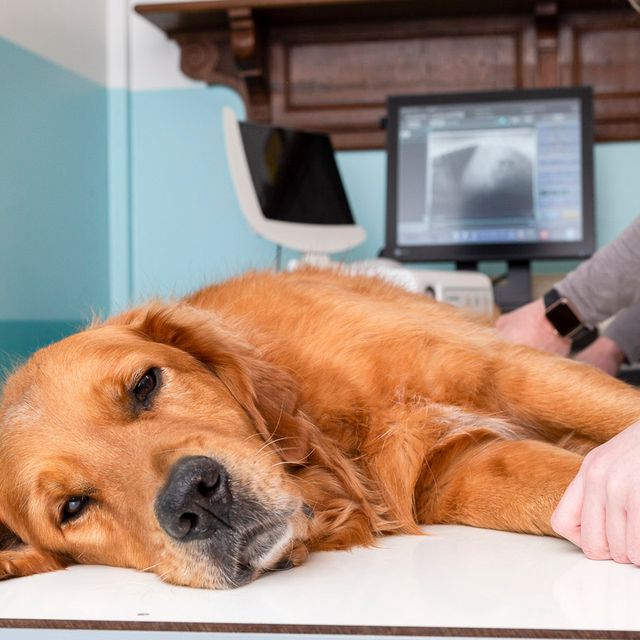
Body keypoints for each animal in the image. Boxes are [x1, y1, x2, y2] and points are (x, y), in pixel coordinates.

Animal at [1, 268, 640, 588]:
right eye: (73, 507)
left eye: (144, 384)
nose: (194, 500)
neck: (329, 434)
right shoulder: (455, 469)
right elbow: (556, 484)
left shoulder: (506, 370)